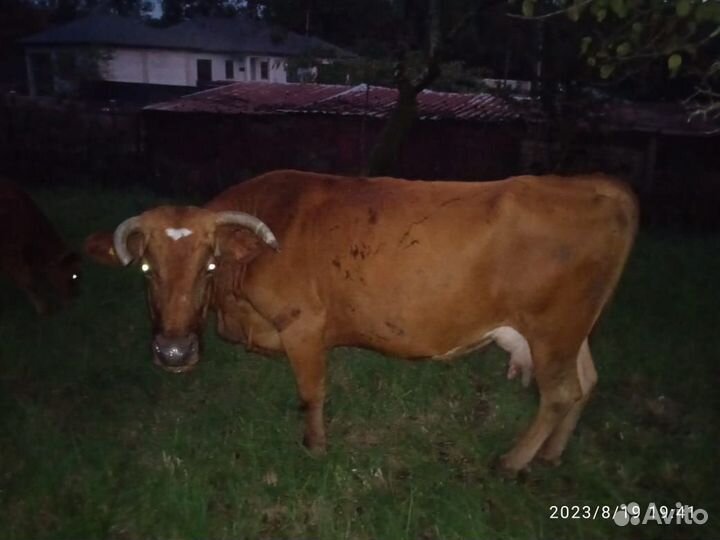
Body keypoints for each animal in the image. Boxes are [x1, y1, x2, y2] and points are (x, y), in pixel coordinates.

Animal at [85, 170, 637, 472]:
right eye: (147, 268)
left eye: (209, 264)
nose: (174, 351)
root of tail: (596, 184)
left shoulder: (304, 327)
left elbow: (311, 395)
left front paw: (314, 448)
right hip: (571, 333)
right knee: (586, 383)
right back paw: (551, 455)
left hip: (552, 330)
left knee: (559, 393)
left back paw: (512, 461)